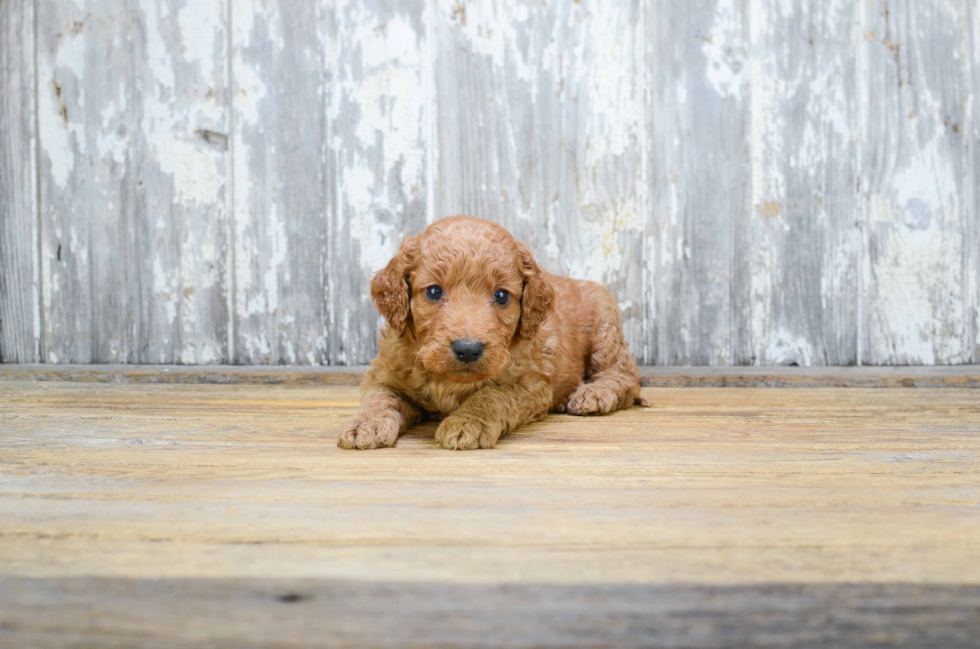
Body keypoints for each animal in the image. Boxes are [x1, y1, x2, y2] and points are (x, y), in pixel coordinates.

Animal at [336, 215, 644, 448]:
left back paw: (591, 394)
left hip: (605, 328)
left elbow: (492, 396)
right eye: (434, 291)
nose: (468, 349)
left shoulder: (530, 383)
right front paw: (365, 424)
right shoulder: (384, 373)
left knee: (625, 376)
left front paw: (466, 423)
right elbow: (379, 397)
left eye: (502, 296)